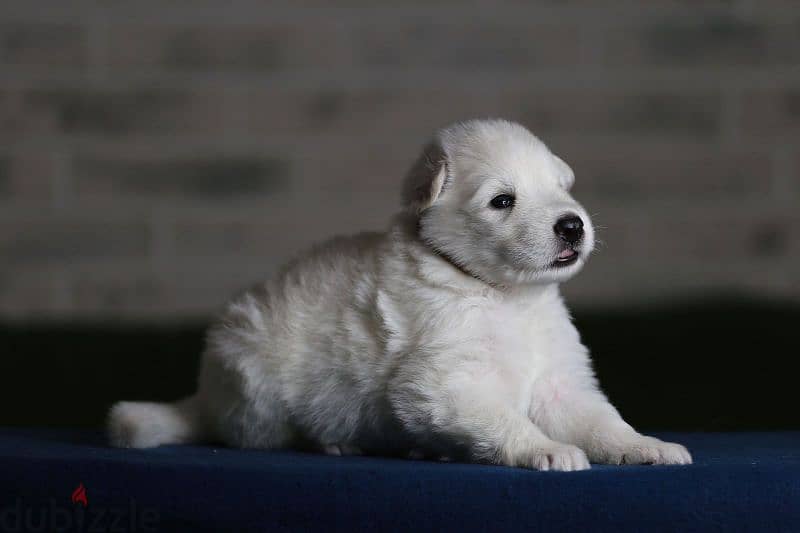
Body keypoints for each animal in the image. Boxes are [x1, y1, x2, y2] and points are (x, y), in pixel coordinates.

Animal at [109, 119, 692, 470]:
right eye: (502, 200)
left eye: (561, 188)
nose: (572, 225)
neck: (501, 295)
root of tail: (204, 399)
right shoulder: (446, 383)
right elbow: (508, 421)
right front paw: (546, 450)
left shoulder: (560, 381)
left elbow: (602, 420)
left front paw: (647, 446)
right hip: (257, 383)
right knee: (268, 436)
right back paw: (339, 441)